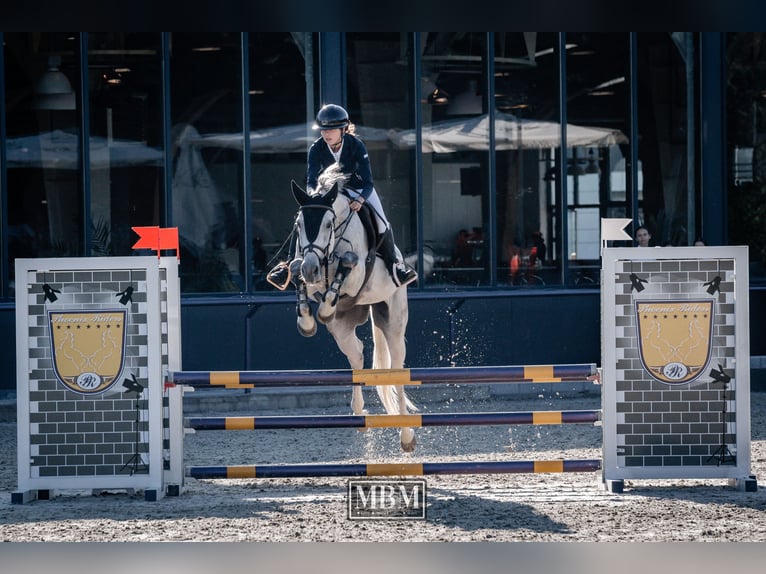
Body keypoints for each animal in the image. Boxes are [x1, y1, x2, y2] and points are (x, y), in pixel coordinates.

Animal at [287, 163, 417, 452]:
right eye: (299, 224)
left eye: (328, 223)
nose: (312, 269)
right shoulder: (309, 273)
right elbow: (296, 269)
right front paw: (307, 320)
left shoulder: (355, 275)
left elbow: (348, 261)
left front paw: (321, 310)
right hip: (342, 326)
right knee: (356, 355)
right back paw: (358, 413)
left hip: (393, 319)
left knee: (397, 369)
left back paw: (406, 436)